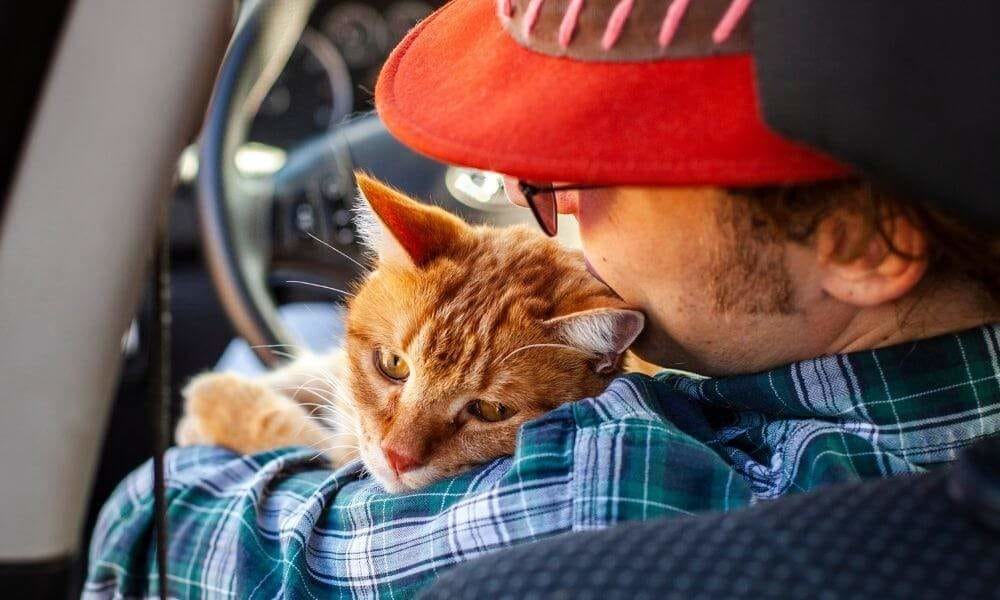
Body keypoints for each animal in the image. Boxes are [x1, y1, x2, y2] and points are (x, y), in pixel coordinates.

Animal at [176, 173, 644, 492]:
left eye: (491, 410)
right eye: (393, 365)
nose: (396, 458)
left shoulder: (343, 454)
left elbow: (289, 430)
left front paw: (214, 405)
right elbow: (316, 374)